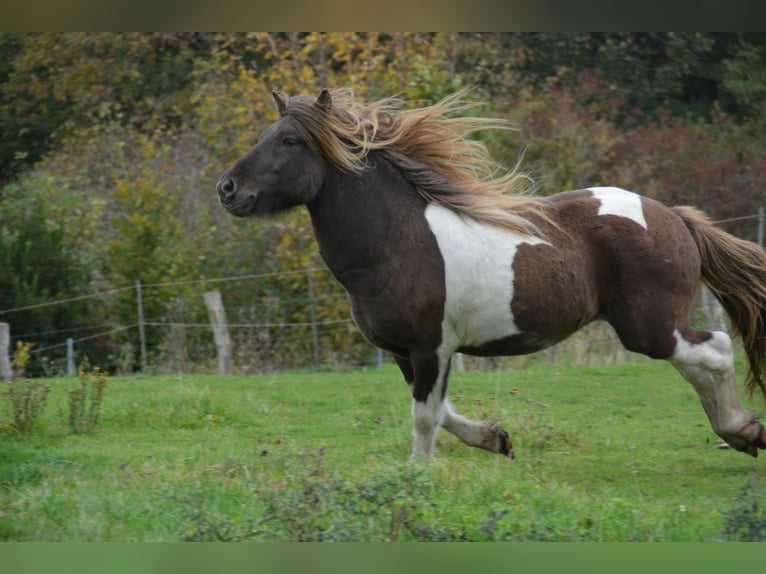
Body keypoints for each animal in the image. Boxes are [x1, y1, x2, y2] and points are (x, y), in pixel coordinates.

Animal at [216, 88, 766, 460]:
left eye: (289, 141)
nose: (227, 189)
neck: (395, 244)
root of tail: (674, 216)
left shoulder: (430, 346)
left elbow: (425, 416)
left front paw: (417, 476)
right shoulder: (405, 351)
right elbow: (440, 409)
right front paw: (495, 438)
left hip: (649, 328)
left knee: (716, 349)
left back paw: (742, 429)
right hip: (657, 327)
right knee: (698, 364)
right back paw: (739, 433)